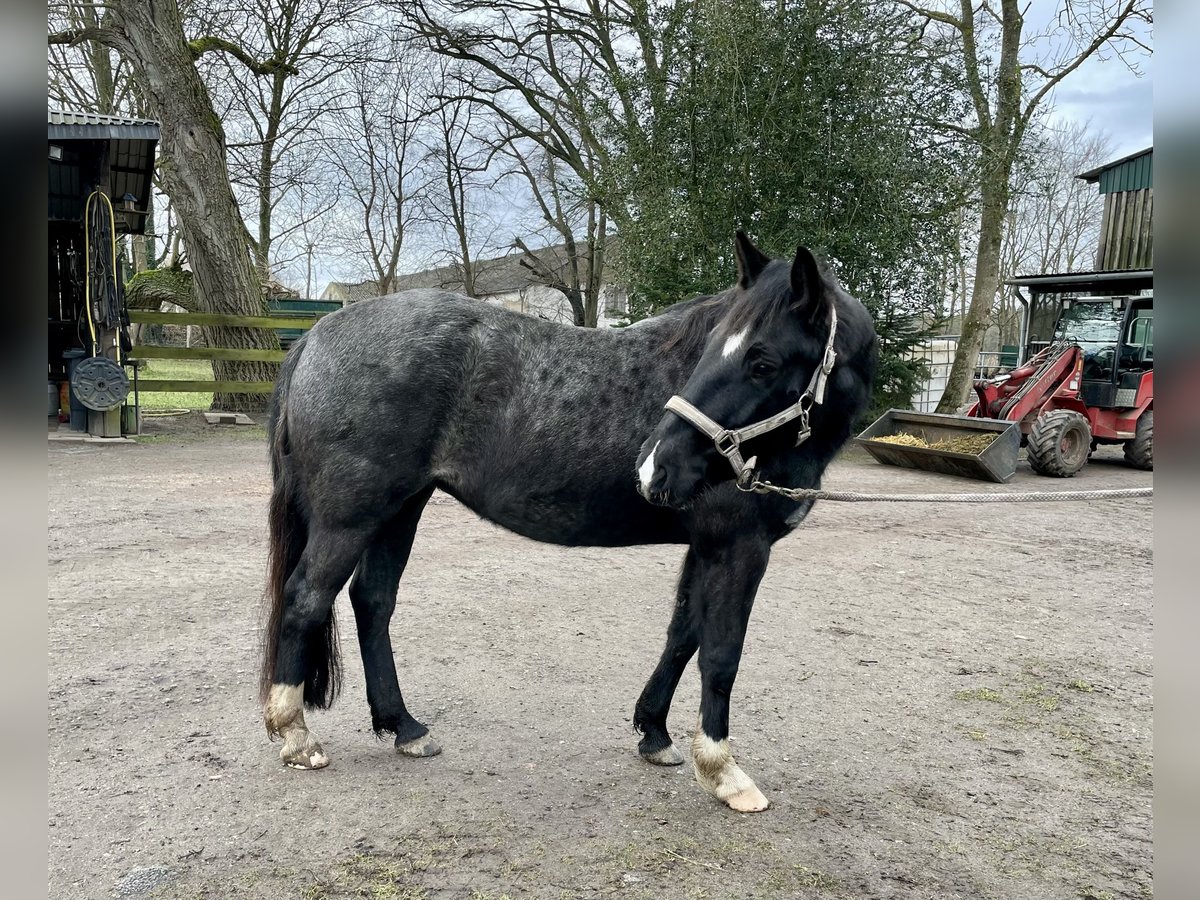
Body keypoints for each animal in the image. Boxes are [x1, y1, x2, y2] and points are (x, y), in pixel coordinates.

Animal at [262, 230, 878, 811]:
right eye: (714, 354)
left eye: (762, 362)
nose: (652, 467)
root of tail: (318, 336)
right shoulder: (739, 546)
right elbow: (721, 654)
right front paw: (724, 772)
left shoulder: (705, 545)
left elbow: (684, 635)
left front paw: (654, 733)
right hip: (352, 517)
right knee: (306, 599)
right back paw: (296, 735)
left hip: (401, 508)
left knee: (373, 602)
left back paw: (405, 727)